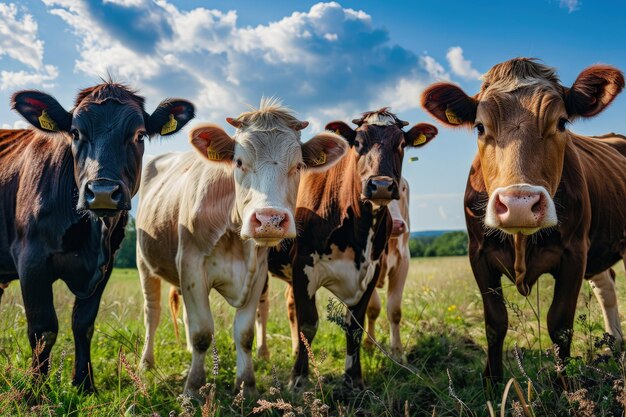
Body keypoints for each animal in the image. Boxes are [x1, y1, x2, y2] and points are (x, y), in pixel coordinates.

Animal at [135, 99, 346, 398]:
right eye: (238, 161)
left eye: (298, 166)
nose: (270, 220)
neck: (232, 229)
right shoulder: (191, 266)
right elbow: (202, 332)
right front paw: (193, 388)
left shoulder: (257, 273)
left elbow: (244, 334)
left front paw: (247, 386)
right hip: (144, 263)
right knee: (151, 313)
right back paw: (146, 362)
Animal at [360, 177, 410, 360]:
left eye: (403, 188)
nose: (395, 225)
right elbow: (373, 308)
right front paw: (369, 344)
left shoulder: (403, 263)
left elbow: (394, 311)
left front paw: (397, 351)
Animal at [420, 57, 624, 382]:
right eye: (480, 127)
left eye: (561, 122)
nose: (519, 204)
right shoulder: (478, 253)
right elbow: (495, 322)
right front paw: (492, 381)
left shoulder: (575, 251)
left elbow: (560, 324)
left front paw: (565, 385)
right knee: (606, 286)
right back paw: (614, 344)